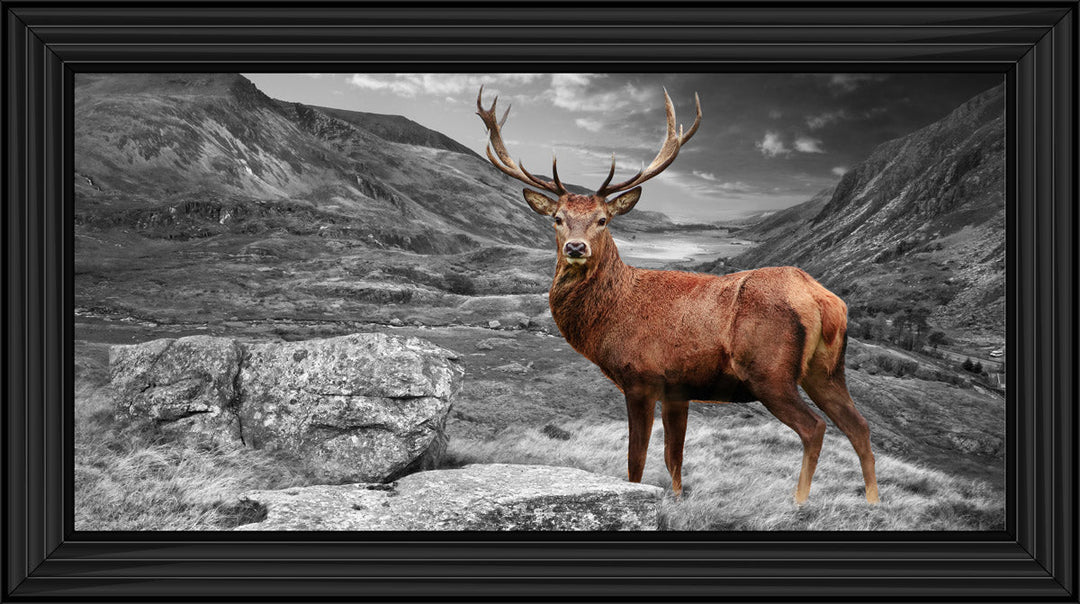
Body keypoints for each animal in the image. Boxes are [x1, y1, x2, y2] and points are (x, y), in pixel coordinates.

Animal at [475, 86, 879, 505]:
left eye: (603, 219)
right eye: (557, 218)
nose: (575, 247)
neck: (611, 317)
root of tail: (823, 300)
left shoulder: (641, 377)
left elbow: (636, 461)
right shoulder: (678, 390)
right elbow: (674, 459)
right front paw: (677, 499)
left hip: (770, 372)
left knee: (815, 427)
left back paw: (799, 502)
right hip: (827, 370)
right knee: (860, 426)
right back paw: (873, 501)